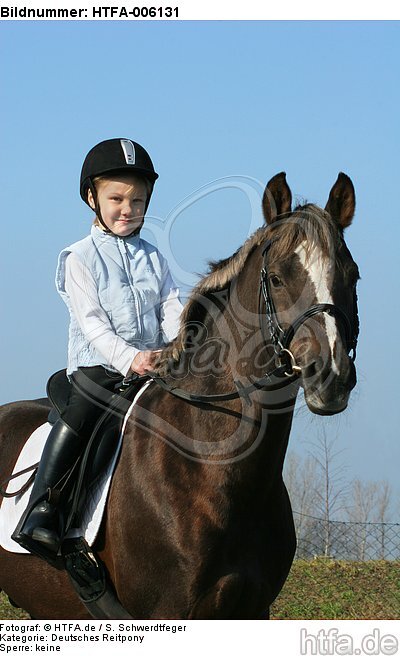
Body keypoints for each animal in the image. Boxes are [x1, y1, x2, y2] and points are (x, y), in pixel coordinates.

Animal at [0, 171, 359, 619]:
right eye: (276, 278)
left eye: (352, 276)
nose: (330, 377)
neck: (211, 467)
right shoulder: (168, 611)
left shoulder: (252, 609)